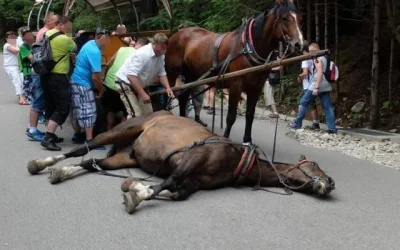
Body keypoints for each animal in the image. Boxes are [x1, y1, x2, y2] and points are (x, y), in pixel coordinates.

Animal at [26, 110, 334, 214]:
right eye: (316, 165)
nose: (330, 182)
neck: (238, 159)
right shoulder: (191, 159)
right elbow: (167, 182)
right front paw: (136, 194)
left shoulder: (195, 182)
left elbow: (177, 193)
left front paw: (132, 186)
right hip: (122, 131)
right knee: (82, 148)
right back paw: (42, 163)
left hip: (126, 155)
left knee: (92, 162)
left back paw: (61, 172)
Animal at [165, 0, 304, 143]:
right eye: (284, 18)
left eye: (300, 18)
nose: (299, 44)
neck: (248, 48)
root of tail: (176, 34)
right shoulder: (236, 86)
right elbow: (231, 116)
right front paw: (226, 138)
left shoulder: (256, 87)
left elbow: (250, 114)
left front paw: (247, 140)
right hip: (171, 73)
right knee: (167, 93)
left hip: (191, 76)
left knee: (183, 98)